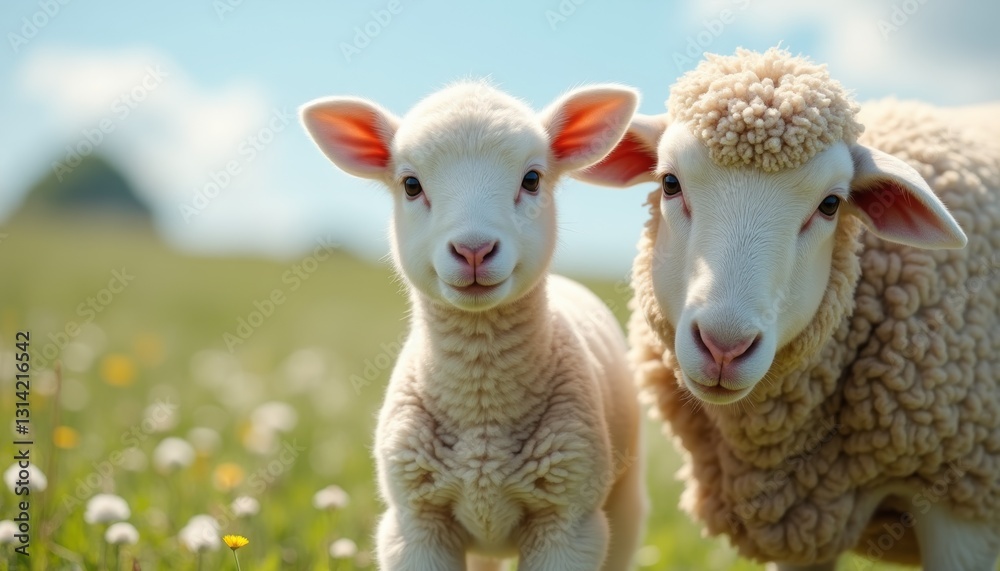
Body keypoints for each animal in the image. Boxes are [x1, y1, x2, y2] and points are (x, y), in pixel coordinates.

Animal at [300, 81, 648, 570]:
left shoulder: (567, 523)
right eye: (411, 185)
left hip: (624, 502)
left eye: (531, 179)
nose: (474, 249)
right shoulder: (416, 522)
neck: (482, 413)